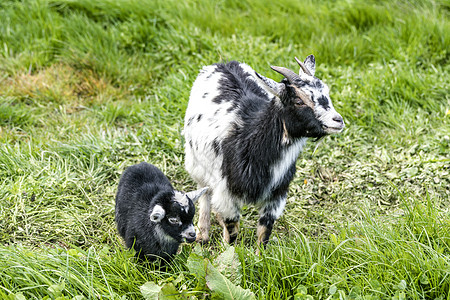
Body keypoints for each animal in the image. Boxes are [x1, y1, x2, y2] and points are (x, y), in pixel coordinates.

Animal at [183, 55, 344, 246]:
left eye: (326, 92)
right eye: (298, 101)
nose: (338, 120)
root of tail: (223, 63)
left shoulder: (277, 195)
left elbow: (264, 233)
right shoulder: (226, 193)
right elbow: (232, 233)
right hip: (196, 163)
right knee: (205, 192)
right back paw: (202, 234)